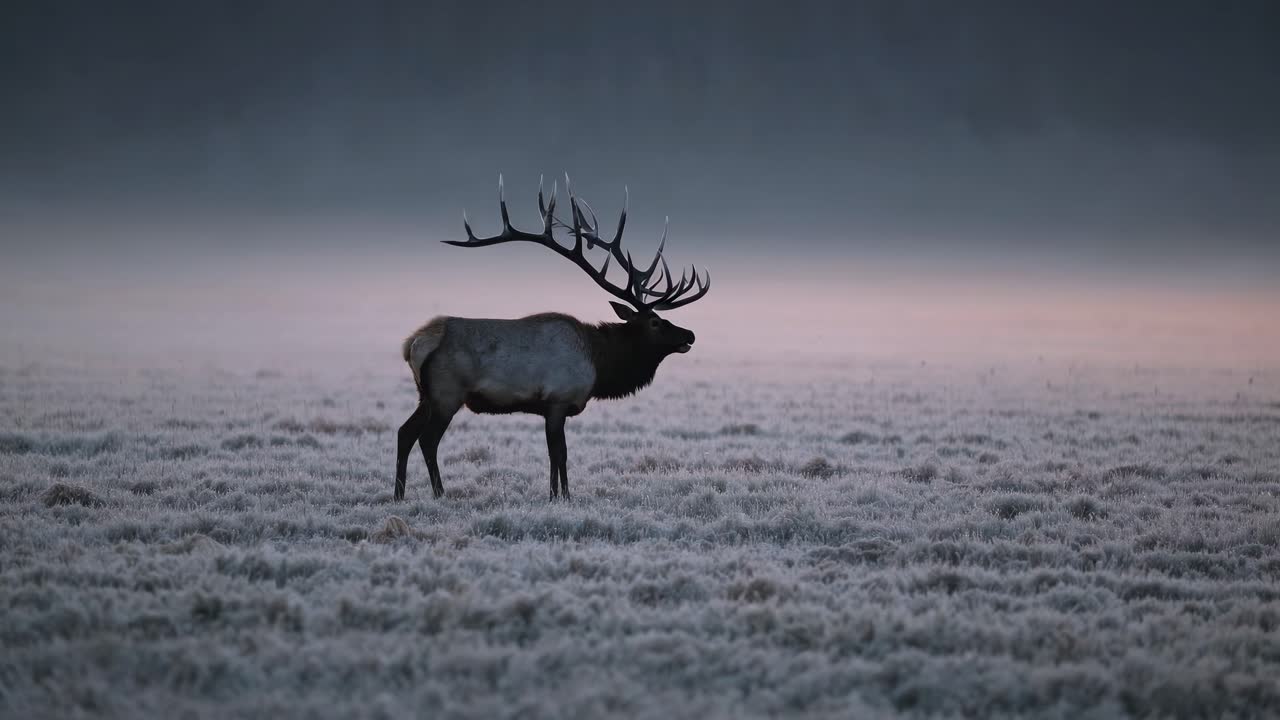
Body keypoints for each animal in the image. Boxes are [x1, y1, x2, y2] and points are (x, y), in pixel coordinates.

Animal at [395, 175, 710, 501]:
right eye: (655, 322)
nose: (690, 334)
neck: (599, 363)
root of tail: (414, 343)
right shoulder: (558, 400)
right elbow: (560, 454)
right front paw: (564, 497)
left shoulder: (550, 408)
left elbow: (553, 455)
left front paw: (554, 494)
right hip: (447, 392)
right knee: (427, 439)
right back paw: (439, 493)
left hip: (426, 394)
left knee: (404, 432)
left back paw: (399, 494)